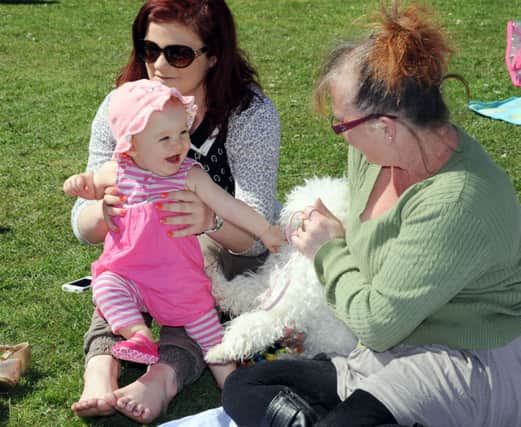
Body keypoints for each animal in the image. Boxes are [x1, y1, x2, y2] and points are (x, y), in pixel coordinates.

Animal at [205, 176, 356, 362]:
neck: (302, 257)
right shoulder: (265, 286)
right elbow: (237, 289)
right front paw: (212, 280)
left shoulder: (281, 311)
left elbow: (248, 328)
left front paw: (219, 351)